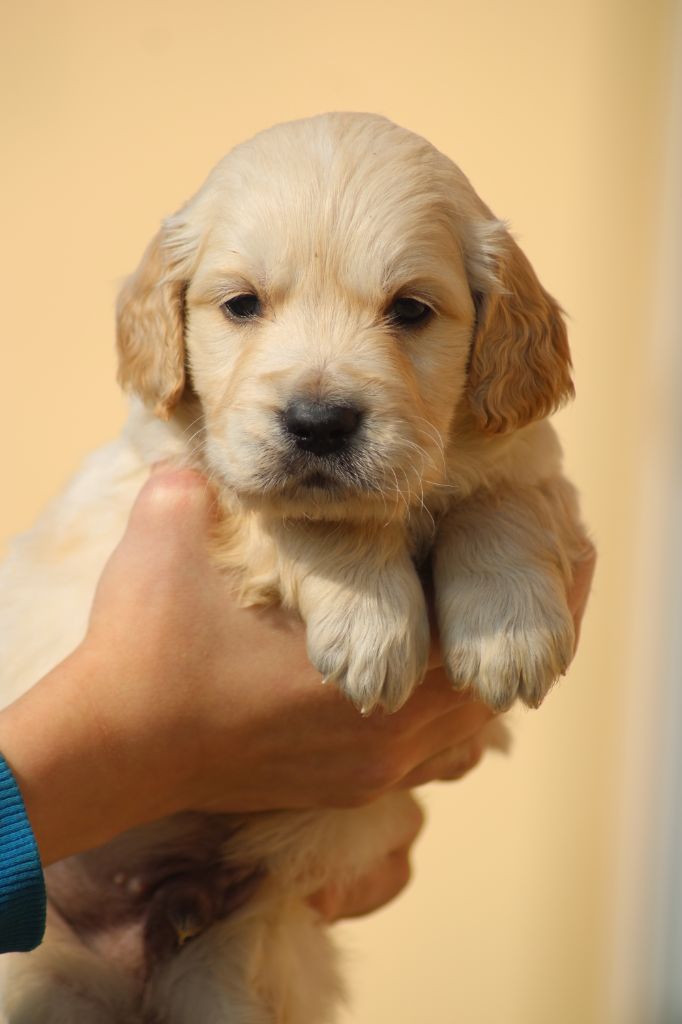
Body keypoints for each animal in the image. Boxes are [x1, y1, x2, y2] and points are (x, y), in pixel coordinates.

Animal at [0, 114, 585, 1024]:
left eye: (411, 310)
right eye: (242, 304)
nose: (319, 423)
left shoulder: (528, 460)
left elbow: (506, 500)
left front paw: (509, 632)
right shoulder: (180, 469)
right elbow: (304, 517)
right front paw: (375, 625)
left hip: (237, 960)